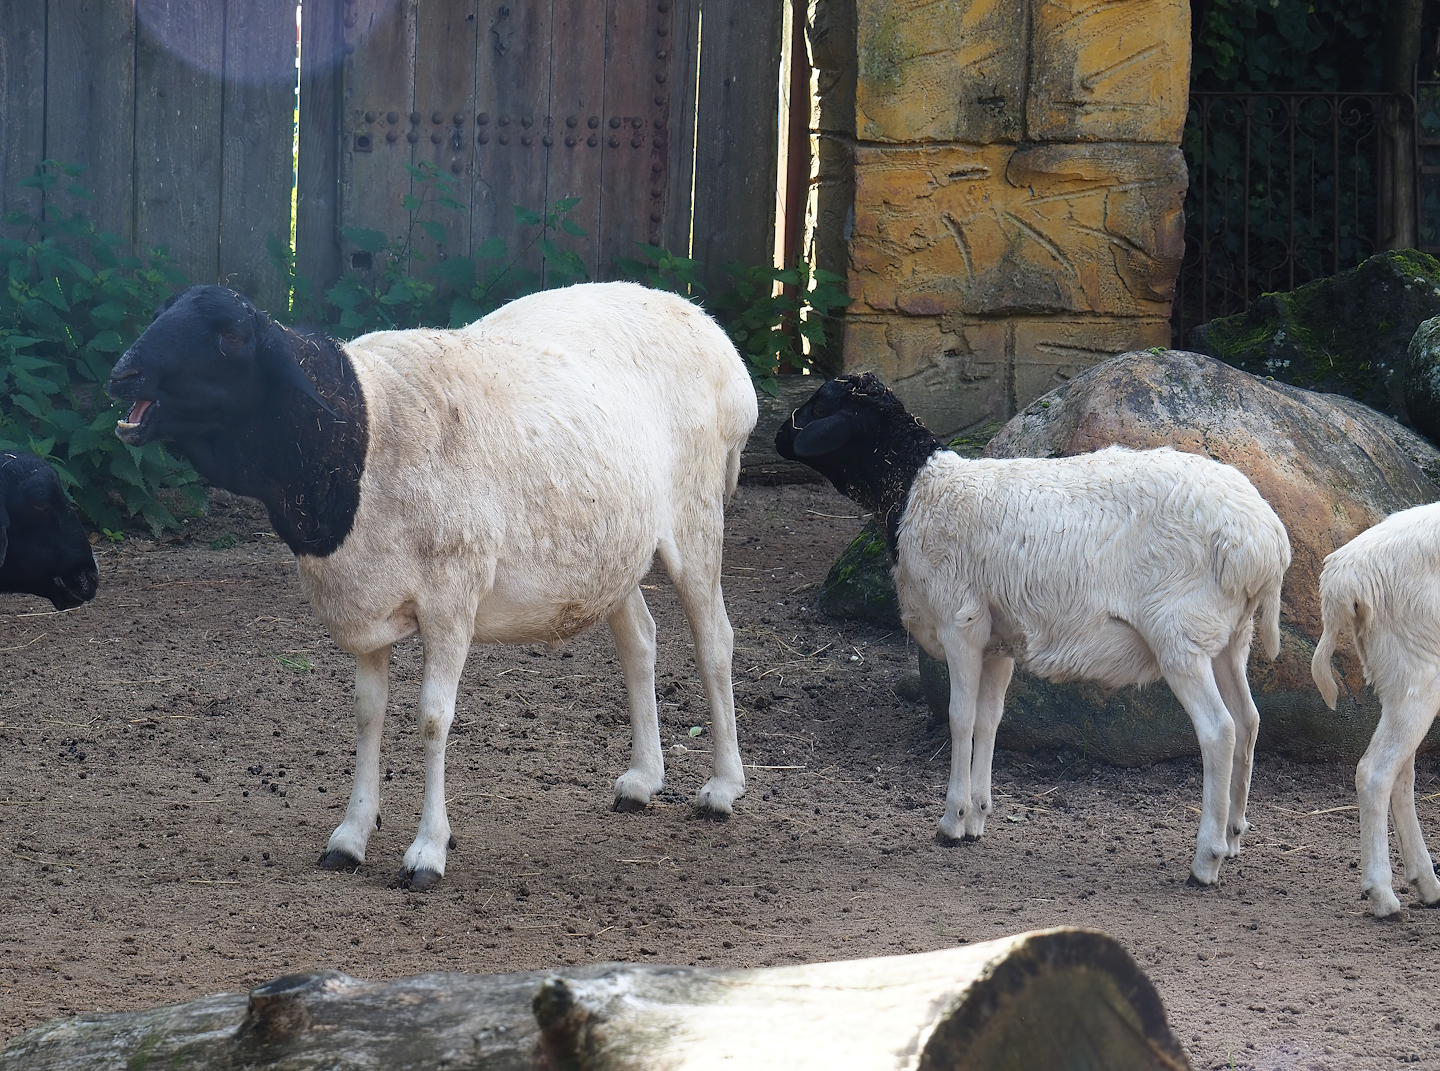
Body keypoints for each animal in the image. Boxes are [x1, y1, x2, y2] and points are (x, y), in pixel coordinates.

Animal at [106, 282, 758, 889]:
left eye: (229, 336)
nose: (122, 375)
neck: (358, 436)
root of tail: (706, 326)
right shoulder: (366, 600)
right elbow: (367, 712)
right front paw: (349, 837)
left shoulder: (451, 598)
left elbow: (432, 718)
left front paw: (426, 851)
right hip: (611, 549)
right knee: (640, 641)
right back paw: (642, 782)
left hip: (695, 516)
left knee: (714, 641)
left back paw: (723, 788)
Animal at [776, 373, 1291, 885]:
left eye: (821, 403)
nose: (780, 435)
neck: (917, 492)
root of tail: (1265, 541)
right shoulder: (997, 642)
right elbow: (989, 719)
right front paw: (977, 817)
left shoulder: (961, 624)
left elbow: (960, 718)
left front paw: (951, 820)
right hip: (1228, 637)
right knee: (1248, 721)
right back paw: (1234, 837)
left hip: (1180, 634)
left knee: (1219, 731)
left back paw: (1206, 859)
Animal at [1311, 502, 1440, 917]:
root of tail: (1343, 576)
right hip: (1417, 673)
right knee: (1375, 771)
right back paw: (1382, 895)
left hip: (1398, 680)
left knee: (1401, 773)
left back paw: (1427, 885)